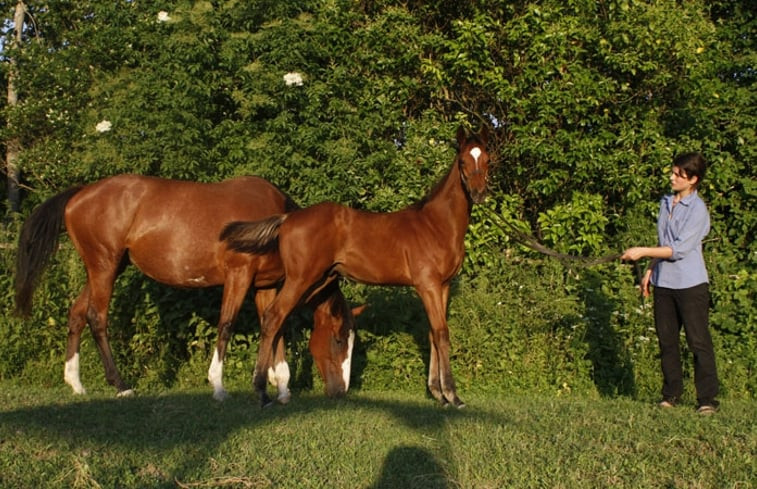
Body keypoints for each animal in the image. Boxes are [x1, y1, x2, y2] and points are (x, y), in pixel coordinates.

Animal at [15, 174, 360, 400]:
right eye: (339, 340)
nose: (341, 391)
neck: (275, 226)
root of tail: (81, 193)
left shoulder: (265, 286)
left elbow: (274, 328)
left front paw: (281, 387)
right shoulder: (239, 276)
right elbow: (226, 325)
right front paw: (218, 386)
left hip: (103, 268)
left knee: (76, 314)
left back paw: (76, 383)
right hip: (104, 267)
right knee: (96, 319)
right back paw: (121, 385)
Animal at [221, 127, 490, 408]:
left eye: (488, 159)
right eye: (463, 161)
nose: (479, 193)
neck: (435, 224)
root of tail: (287, 219)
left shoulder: (443, 286)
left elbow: (432, 334)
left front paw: (438, 393)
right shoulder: (428, 285)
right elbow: (441, 333)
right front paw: (452, 395)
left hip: (316, 282)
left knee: (276, 319)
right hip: (300, 279)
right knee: (273, 317)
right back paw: (261, 392)